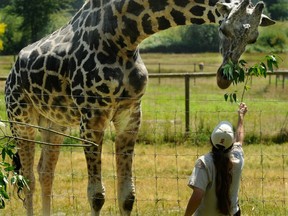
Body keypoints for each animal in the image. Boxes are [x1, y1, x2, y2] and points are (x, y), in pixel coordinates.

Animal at [4, 0, 274, 214]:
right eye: (223, 28)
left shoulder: (130, 115)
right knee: (27, 178)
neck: (123, 36)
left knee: (45, 172)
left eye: (253, 38)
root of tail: (12, 71)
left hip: (53, 124)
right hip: (20, 119)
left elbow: (128, 196)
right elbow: (96, 195)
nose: (224, 78)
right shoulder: (92, 116)